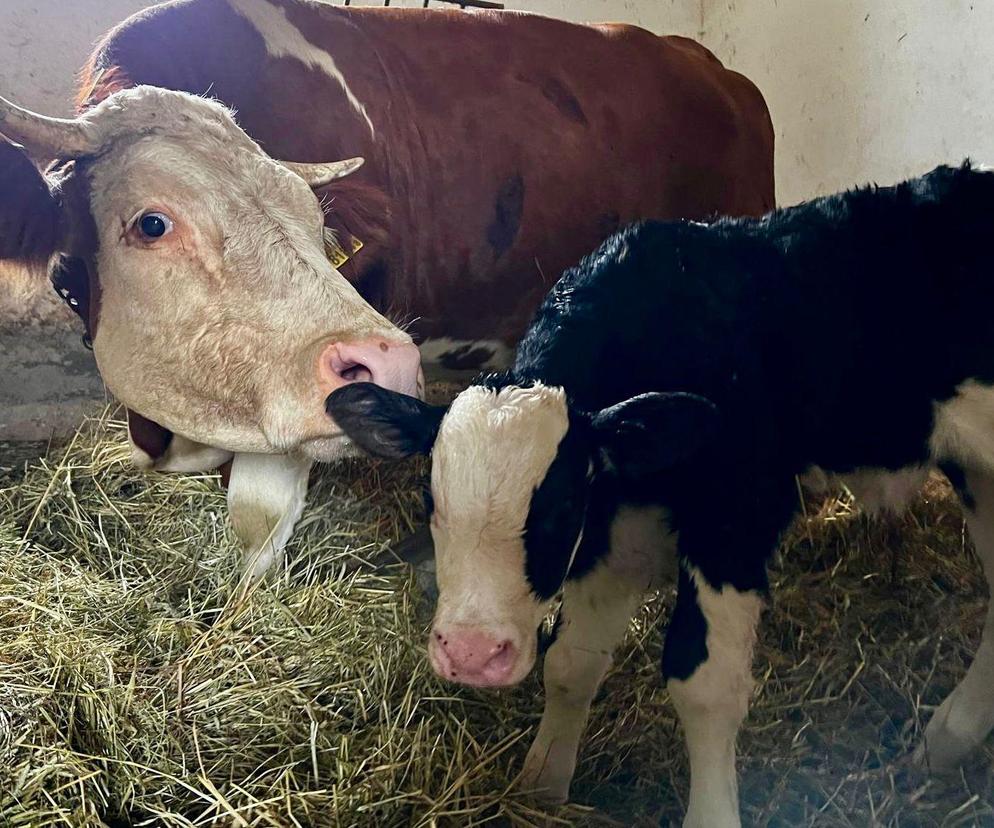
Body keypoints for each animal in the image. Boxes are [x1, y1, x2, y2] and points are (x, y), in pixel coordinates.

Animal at [328, 163, 994, 828]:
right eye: (430, 499)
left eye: (561, 507)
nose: (470, 653)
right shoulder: (613, 531)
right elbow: (571, 662)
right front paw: (540, 787)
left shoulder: (733, 516)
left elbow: (703, 684)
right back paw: (950, 739)